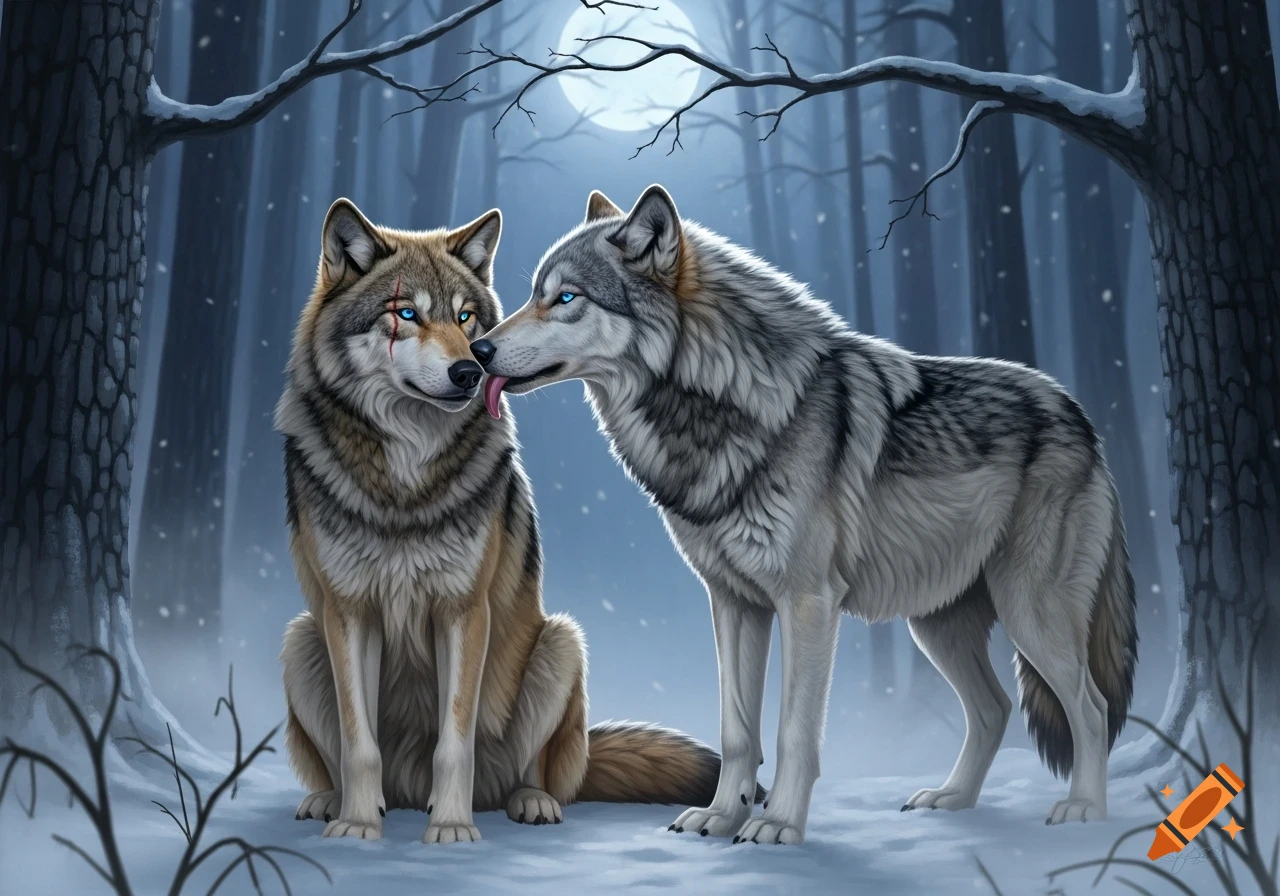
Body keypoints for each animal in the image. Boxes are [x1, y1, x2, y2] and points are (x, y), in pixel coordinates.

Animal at [275, 198, 732, 844]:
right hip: (300, 641)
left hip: (560, 644)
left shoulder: (464, 611)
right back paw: (331, 802)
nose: (470, 370)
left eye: (466, 318)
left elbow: (454, 743)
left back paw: (530, 801)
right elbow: (358, 745)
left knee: (537, 773)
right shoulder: (349, 612)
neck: (405, 481)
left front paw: (450, 829)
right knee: (341, 760)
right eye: (407, 314)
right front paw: (358, 826)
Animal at [469, 185, 1139, 845]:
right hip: (937, 624)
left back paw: (1085, 808)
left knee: (1092, 707)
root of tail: (1079, 414)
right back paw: (953, 799)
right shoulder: (733, 602)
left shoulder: (808, 601)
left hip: (1030, 612)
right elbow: (738, 730)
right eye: (534, 294)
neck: (721, 402)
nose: (478, 348)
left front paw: (779, 823)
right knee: (995, 709)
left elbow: (794, 731)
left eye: (566, 299)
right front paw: (722, 816)